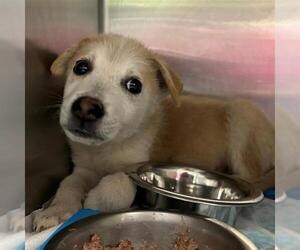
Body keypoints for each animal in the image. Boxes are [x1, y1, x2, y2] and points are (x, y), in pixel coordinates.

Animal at [32, 33, 274, 232]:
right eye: (81, 67)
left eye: (134, 85)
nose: (86, 108)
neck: (107, 149)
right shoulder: (84, 168)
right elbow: (68, 183)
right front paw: (55, 210)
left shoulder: (135, 166)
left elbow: (119, 184)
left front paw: (93, 200)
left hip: (243, 114)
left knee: (251, 177)